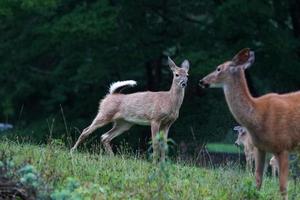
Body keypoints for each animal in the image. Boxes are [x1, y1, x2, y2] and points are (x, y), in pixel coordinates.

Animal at [199, 47, 300, 199]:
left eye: (218, 68)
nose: (202, 81)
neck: (258, 115)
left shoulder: (284, 146)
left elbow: (283, 187)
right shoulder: (260, 147)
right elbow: (257, 181)